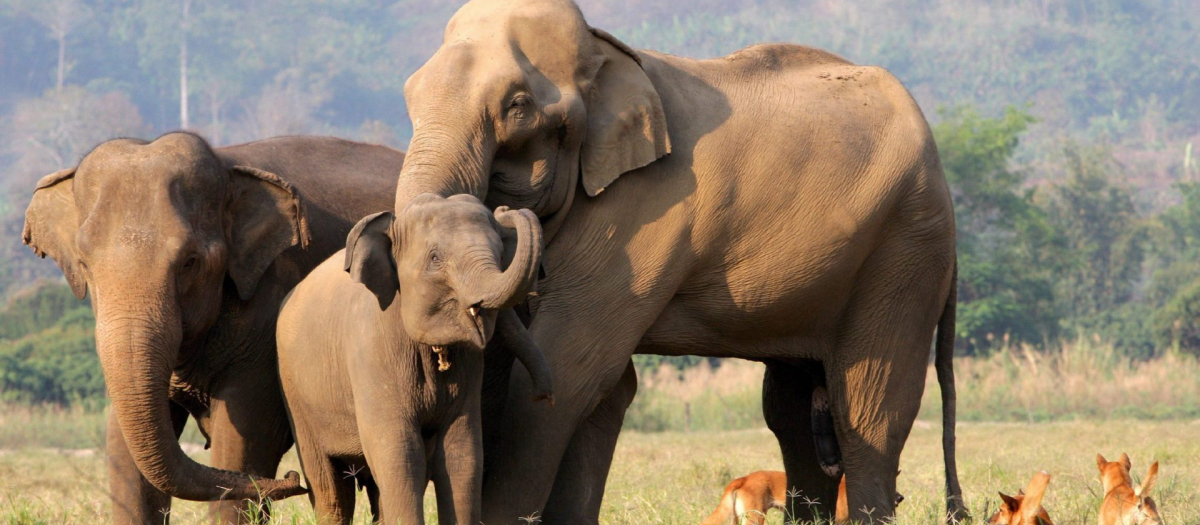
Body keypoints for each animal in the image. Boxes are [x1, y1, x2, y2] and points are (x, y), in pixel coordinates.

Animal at [21, 132, 405, 525]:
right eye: (84, 264)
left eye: (189, 262)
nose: (291, 479)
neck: (227, 165)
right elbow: (124, 452)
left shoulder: (268, 311)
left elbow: (243, 441)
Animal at [276, 192, 552, 525]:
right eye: (435, 259)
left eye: (500, 253)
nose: (544, 397)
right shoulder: (371, 351)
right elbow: (400, 454)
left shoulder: (469, 367)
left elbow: (463, 455)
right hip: (296, 395)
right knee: (330, 489)